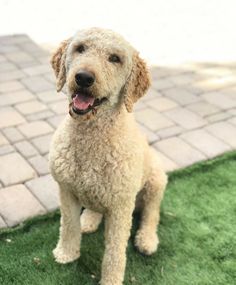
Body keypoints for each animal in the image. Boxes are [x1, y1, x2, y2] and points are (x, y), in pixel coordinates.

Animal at [49, 27, 168, 284]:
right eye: (80, 48)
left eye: (115, 58)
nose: (84, 77)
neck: (92, 136)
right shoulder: (67, 190)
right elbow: (68, 226)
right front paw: (66, 253)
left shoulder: (121, 206)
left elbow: (114, 251)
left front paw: (110, 279)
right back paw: (89, 220)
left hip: (156, 181)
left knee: (152, 213)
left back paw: (147, 239)